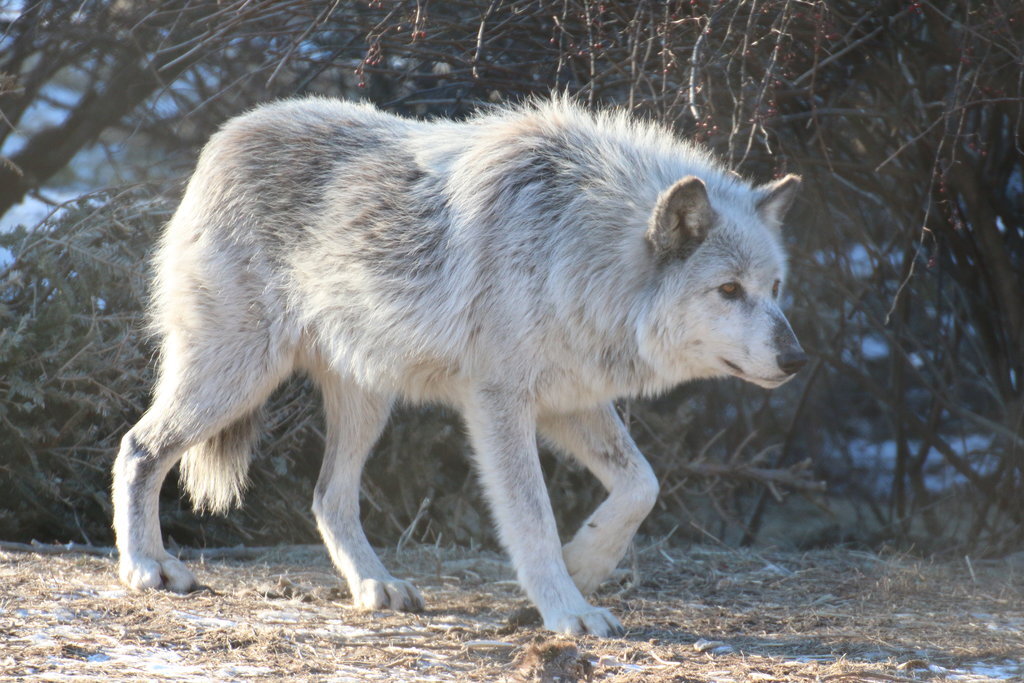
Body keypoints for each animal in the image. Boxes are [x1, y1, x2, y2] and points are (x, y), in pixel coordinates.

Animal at [112, 96, 802, 634]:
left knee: (328, 497)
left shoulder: (570, 400)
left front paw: (585, 564)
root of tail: (224, 138)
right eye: (729, 291)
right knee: (139, 447)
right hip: (237, 376)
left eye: (774, 288)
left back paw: (376, 586)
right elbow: (532, 519)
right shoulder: (499, 405)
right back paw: (146, 566)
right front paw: (568, 611)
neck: (572, 246)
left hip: (365, 401)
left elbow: (642, 486)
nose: (796, 357)